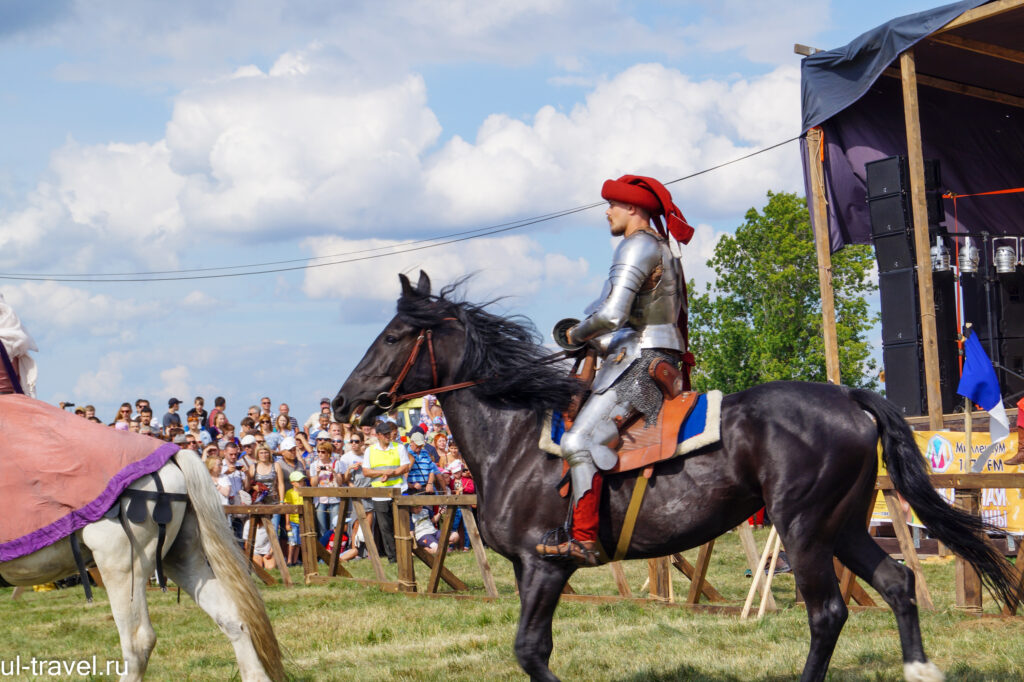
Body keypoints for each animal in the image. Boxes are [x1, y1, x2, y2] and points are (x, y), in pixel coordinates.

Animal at [333, 272, 1015, 679]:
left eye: (394, 335)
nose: (342, 404)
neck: (514, 439)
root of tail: (848, 395)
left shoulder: (544, 566)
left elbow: (530, 650)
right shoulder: (535, 571)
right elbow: (534, 648)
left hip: (802, 529)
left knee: (827, 613)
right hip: (842, 525)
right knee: (898, 584)